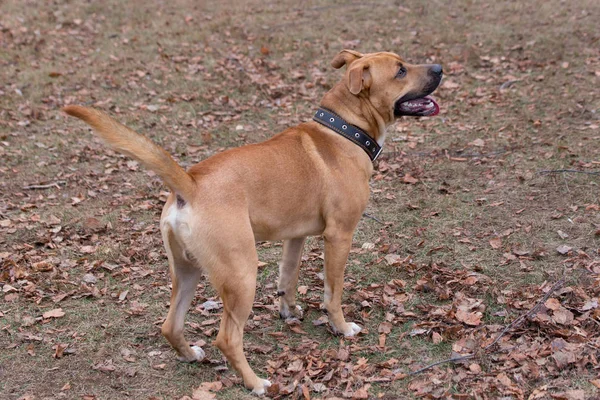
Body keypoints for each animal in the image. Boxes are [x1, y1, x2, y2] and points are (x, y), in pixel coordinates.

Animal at [63, 50, 440, 394]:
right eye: (400, 70)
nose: (438, 68)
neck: (344, 131)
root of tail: (190, 184)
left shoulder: (295, 237)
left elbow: (288, 278)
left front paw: (289, 312)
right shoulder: (339, 236)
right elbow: (333, 293)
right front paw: (341, 328)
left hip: (187, 271)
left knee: (170, 325)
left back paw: (191, 355)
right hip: (242, 273)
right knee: (227, 338)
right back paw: (256, 383)